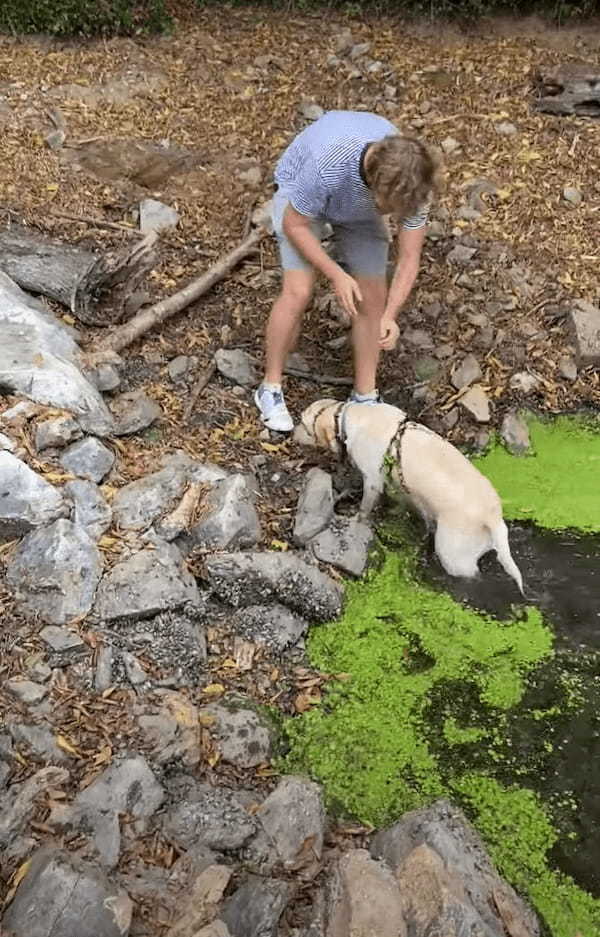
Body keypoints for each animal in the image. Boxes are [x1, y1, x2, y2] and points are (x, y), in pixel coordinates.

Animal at [292, 400, 524, 592]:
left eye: (303, 424)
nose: (291, 434)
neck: (351, 417)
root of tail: (491, 515)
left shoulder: (372, 481)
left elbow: (364, 509)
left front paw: (357, 519)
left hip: (453, 556)